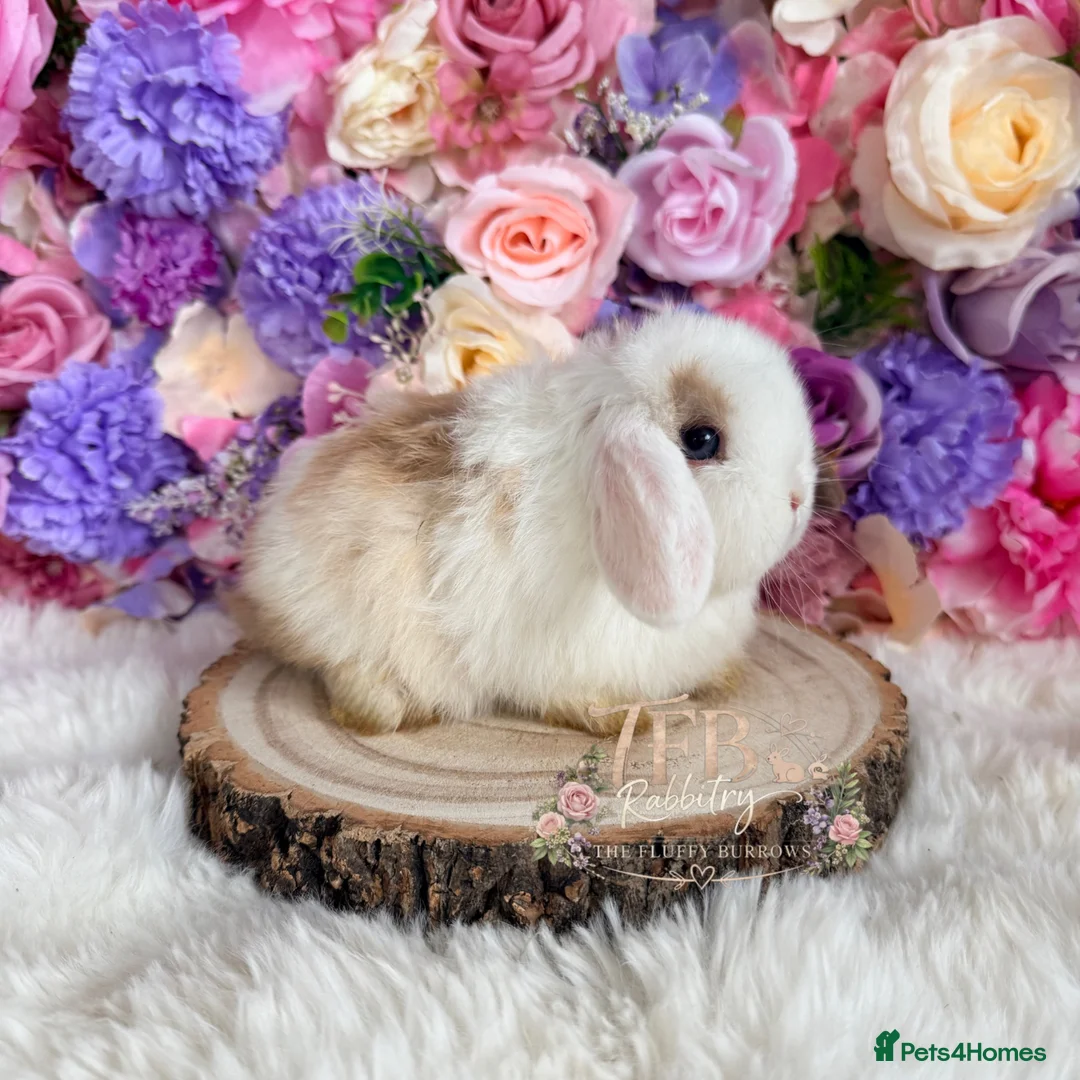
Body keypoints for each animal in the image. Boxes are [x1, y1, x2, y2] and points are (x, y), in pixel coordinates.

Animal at [234, 308, 817, 736]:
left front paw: (725, 676)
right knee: (349, 681)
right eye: (701, 440)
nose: (798, 499)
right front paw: (623, 720)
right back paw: (396, 708)